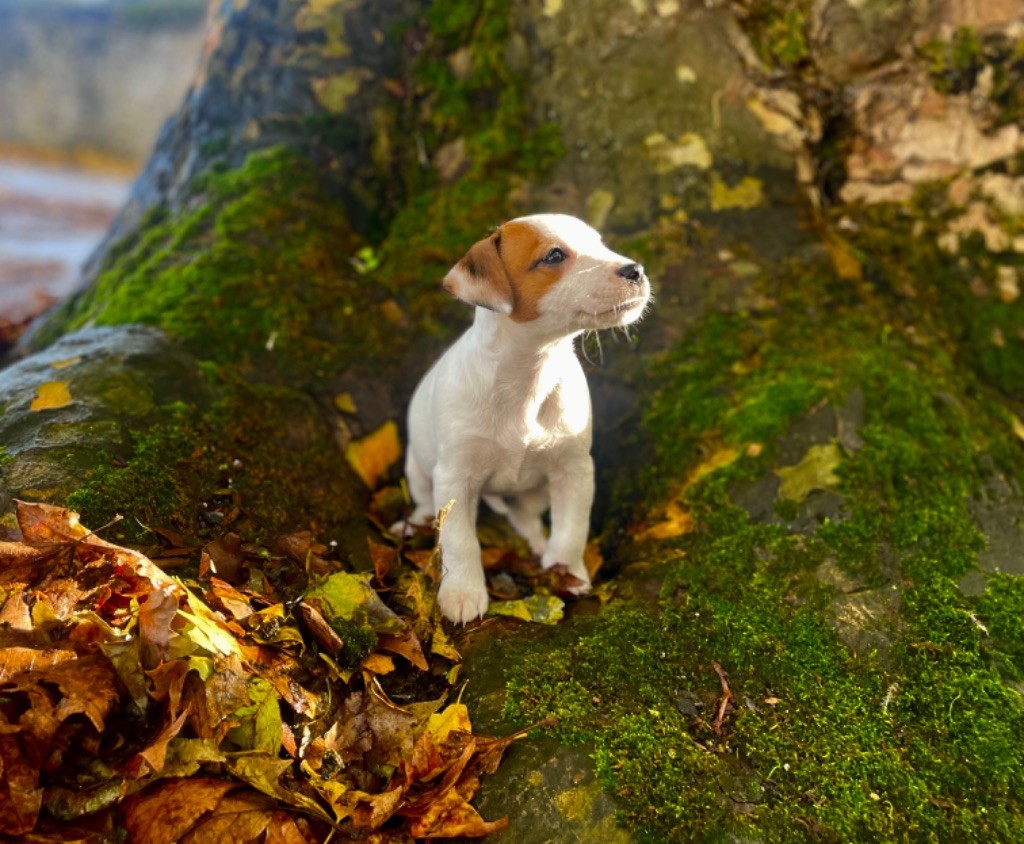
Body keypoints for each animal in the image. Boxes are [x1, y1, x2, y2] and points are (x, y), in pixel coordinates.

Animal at [391, 214, 647, 622]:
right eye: (554, 255)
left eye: (600, 243)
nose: (635, 270)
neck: (529, 375)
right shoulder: (454, 478)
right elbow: (460, 541)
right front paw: (463, 593)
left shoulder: (574, 470)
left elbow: (571, 529)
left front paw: (566, 572)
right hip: (419, 469)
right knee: (423, 503)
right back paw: (413, 523)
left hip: (535, 492)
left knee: (524, 518)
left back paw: (539, 546)